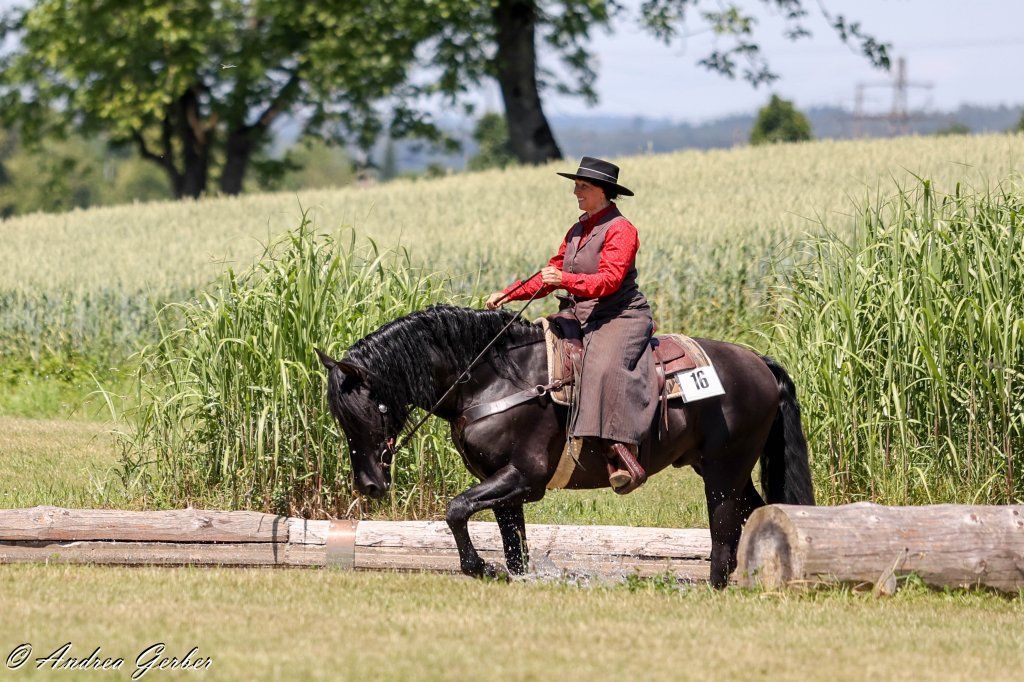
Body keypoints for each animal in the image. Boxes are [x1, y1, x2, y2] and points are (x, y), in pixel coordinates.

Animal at [315, 304, 814, 588]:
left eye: (363, 411)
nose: (369, 485)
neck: (493, 379)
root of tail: (758, 362)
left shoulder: (525, 478)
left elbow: (455, 509)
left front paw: (480, 568)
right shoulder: (502, 485)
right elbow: (514, 546)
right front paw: (512, 576)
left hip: (723, 470)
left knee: (723, 534)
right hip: (726, 470)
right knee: (756, 513)